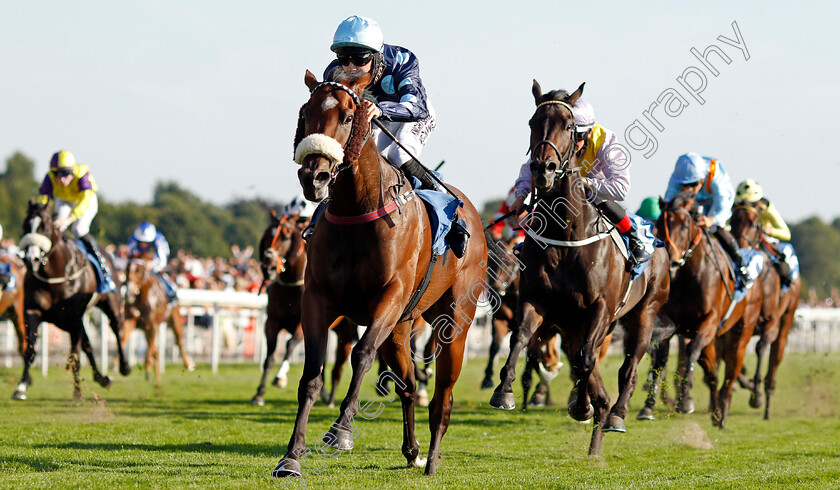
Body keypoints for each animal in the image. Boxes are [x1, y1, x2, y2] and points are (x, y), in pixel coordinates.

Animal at [13, 199, 130, 402]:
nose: (30, 259)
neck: (53, 274)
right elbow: (30, 350)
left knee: (116, 327)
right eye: (26, 225)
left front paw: (77, 393)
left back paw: (123, 366)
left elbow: (74, 355)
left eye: (44, 226)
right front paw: (21, 387)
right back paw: (102, 379)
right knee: (88, 345)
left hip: (110, 303)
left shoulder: (74, 318)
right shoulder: (33, 311)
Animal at [272, 70, 488, 478]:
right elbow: (311, 374)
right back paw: (412, 450)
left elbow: (361, 354)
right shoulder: (318, 298)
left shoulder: (389, 296)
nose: (314, 176)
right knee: (407, 383)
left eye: (347, 116)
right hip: (401, 329)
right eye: (305, 114)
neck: (357, 209)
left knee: (442, 396)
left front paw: (340, 431)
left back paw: (431, 460)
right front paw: (291, 456)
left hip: (454, 321)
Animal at [486, 80, 668, 456]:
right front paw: (504, 392)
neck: (565, 237)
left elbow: (585, 361)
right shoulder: (536, 301)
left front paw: (583, 406)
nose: (543, 168)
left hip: (643, 313)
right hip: (573, 324)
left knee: (628, 366)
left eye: (569, 125)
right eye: (532, 122)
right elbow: (520, 339)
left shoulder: (600, 308)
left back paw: (616, 415)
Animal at [640, 189, 764, 426]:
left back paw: (724, 409)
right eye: (659, 223)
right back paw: (715, 412)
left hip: (741, 331)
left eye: (684, 224)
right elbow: (661, 359)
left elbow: (690, 352)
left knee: (731, 370)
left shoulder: (709, 321)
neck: (689, 275)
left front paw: (684, 401)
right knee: (713, 372)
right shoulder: (668, 323)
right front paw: (648, 406)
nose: (671, 259)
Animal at [728, 203, 800, 418]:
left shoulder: (771, 322)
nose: (739, 247)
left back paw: (767, 399)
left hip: (786, 320)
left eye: (754, 224)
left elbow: (760, 348)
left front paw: (757, 395)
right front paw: (747, 383)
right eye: (732, 220)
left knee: (775, 357)